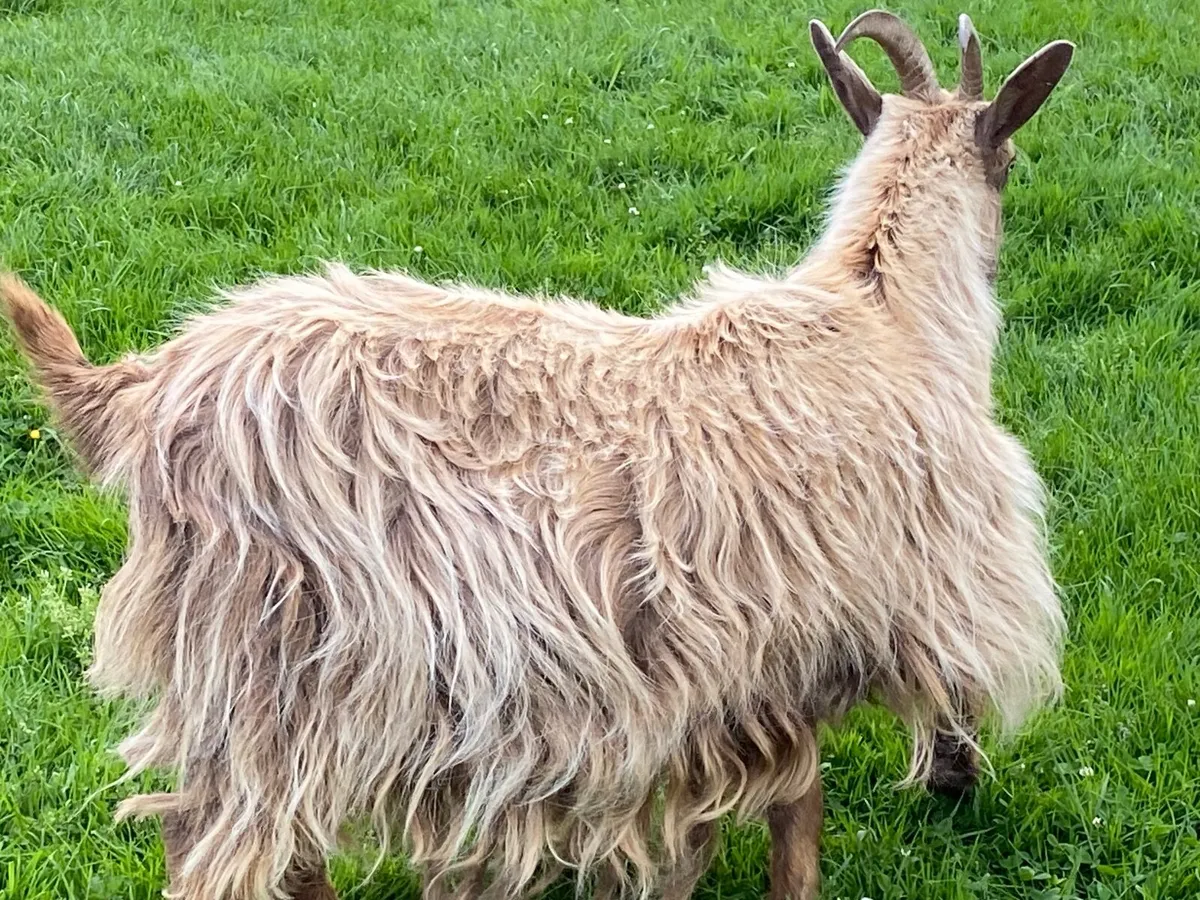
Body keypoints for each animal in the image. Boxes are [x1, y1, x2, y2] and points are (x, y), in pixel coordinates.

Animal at [1, 10, 1073, 900]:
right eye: (1014, 158)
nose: (959, 798)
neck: (882, 309)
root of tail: (139, 388)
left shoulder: (741, 673)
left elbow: (744, 820)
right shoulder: (840, 620)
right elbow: (800, 817)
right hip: (276, 662)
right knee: (222, 847)